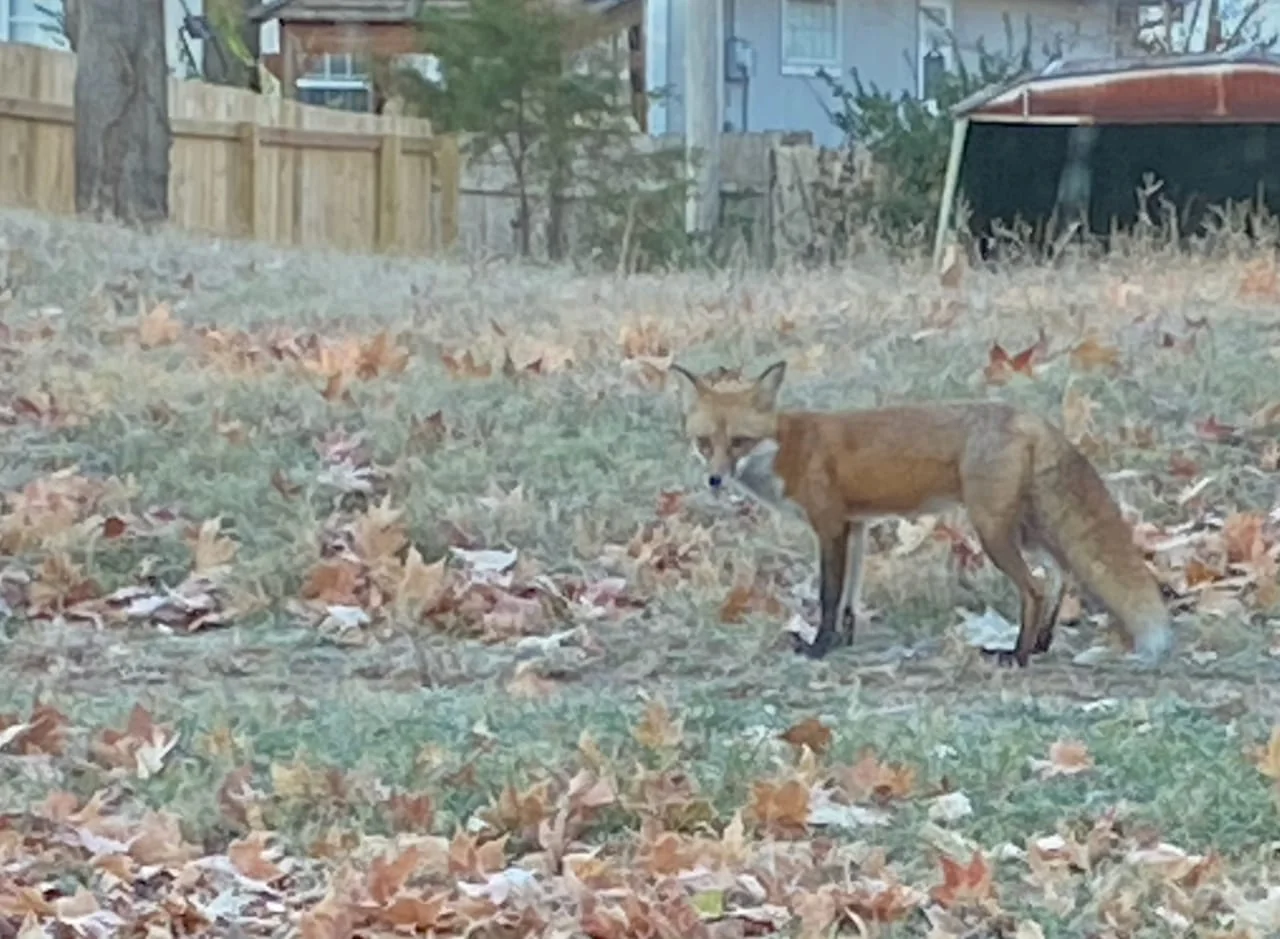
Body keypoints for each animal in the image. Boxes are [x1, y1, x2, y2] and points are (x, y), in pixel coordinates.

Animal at [669, 360, 1174, 668]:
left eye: (739, 442)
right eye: (704, 443)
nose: (715, 480)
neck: (790, 449)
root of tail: (1027, 416)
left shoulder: (829, 526)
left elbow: (830, 596)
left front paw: (819, 648)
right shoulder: (856, 527)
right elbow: (850, 598)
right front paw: (843, 643)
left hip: (992, 531)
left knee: (1032, 587)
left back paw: (1018, 654)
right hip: (1026, 528)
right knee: (1059, 574)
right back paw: (1043, 643)